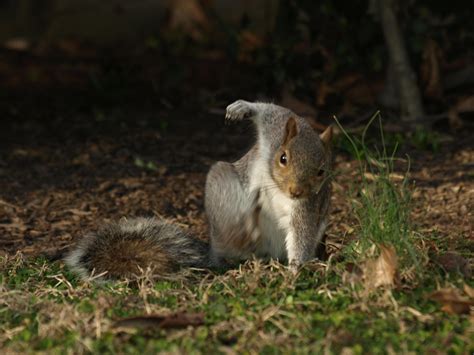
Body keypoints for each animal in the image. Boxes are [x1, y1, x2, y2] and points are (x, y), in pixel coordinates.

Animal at [65, 100, 334, 280]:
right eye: (283, 158)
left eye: (322, 171)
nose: (296, 191)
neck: (277, 185)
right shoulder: (274, 130)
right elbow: (270, 110)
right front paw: (241, 108)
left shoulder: (308, 206)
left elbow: (302, 233)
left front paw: (295, 269)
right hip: (221, 183)